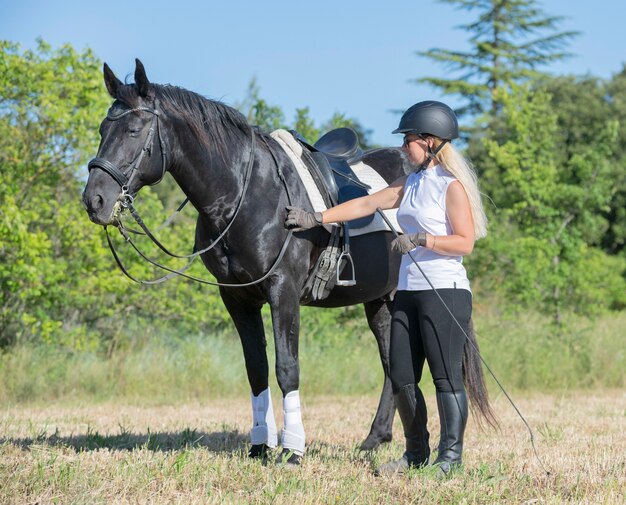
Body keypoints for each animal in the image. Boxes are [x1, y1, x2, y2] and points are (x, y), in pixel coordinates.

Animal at [83, 58, 412, 460]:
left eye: (133, 130)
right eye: (103, 129)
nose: (94, 200)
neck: (247, 193)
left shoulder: (283, 291)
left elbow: (287, 367)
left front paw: (292, 450)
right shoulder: (237, 297)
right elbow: (256, 368)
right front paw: (260, 446)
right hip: (379, 300)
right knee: (391, 363)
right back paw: (374, 438)